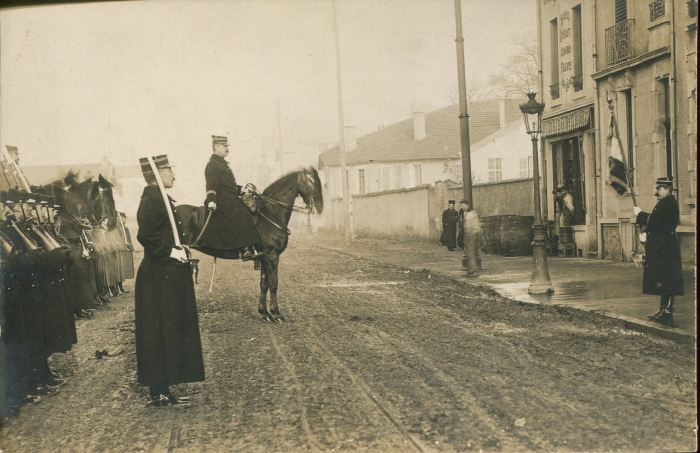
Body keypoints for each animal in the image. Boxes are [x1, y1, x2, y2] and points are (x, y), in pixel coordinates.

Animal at [179, 166, 324, 322]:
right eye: (312, 181)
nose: (320, 207)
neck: (271, 214)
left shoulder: (264, 257)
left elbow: (264, 284)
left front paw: (264, 313)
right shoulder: (272, 256)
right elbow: (274, 284)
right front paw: (276, 313)